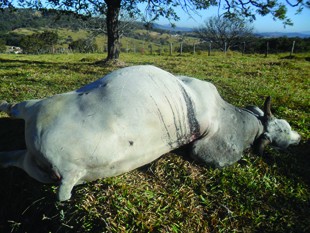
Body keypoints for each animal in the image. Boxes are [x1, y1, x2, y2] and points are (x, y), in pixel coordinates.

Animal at [0, 65, 300, 200]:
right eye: (285, 128)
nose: (299, 139)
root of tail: (70, 174)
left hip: (36, 137)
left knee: (12, 135)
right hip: (35, 113)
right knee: (12, 111)